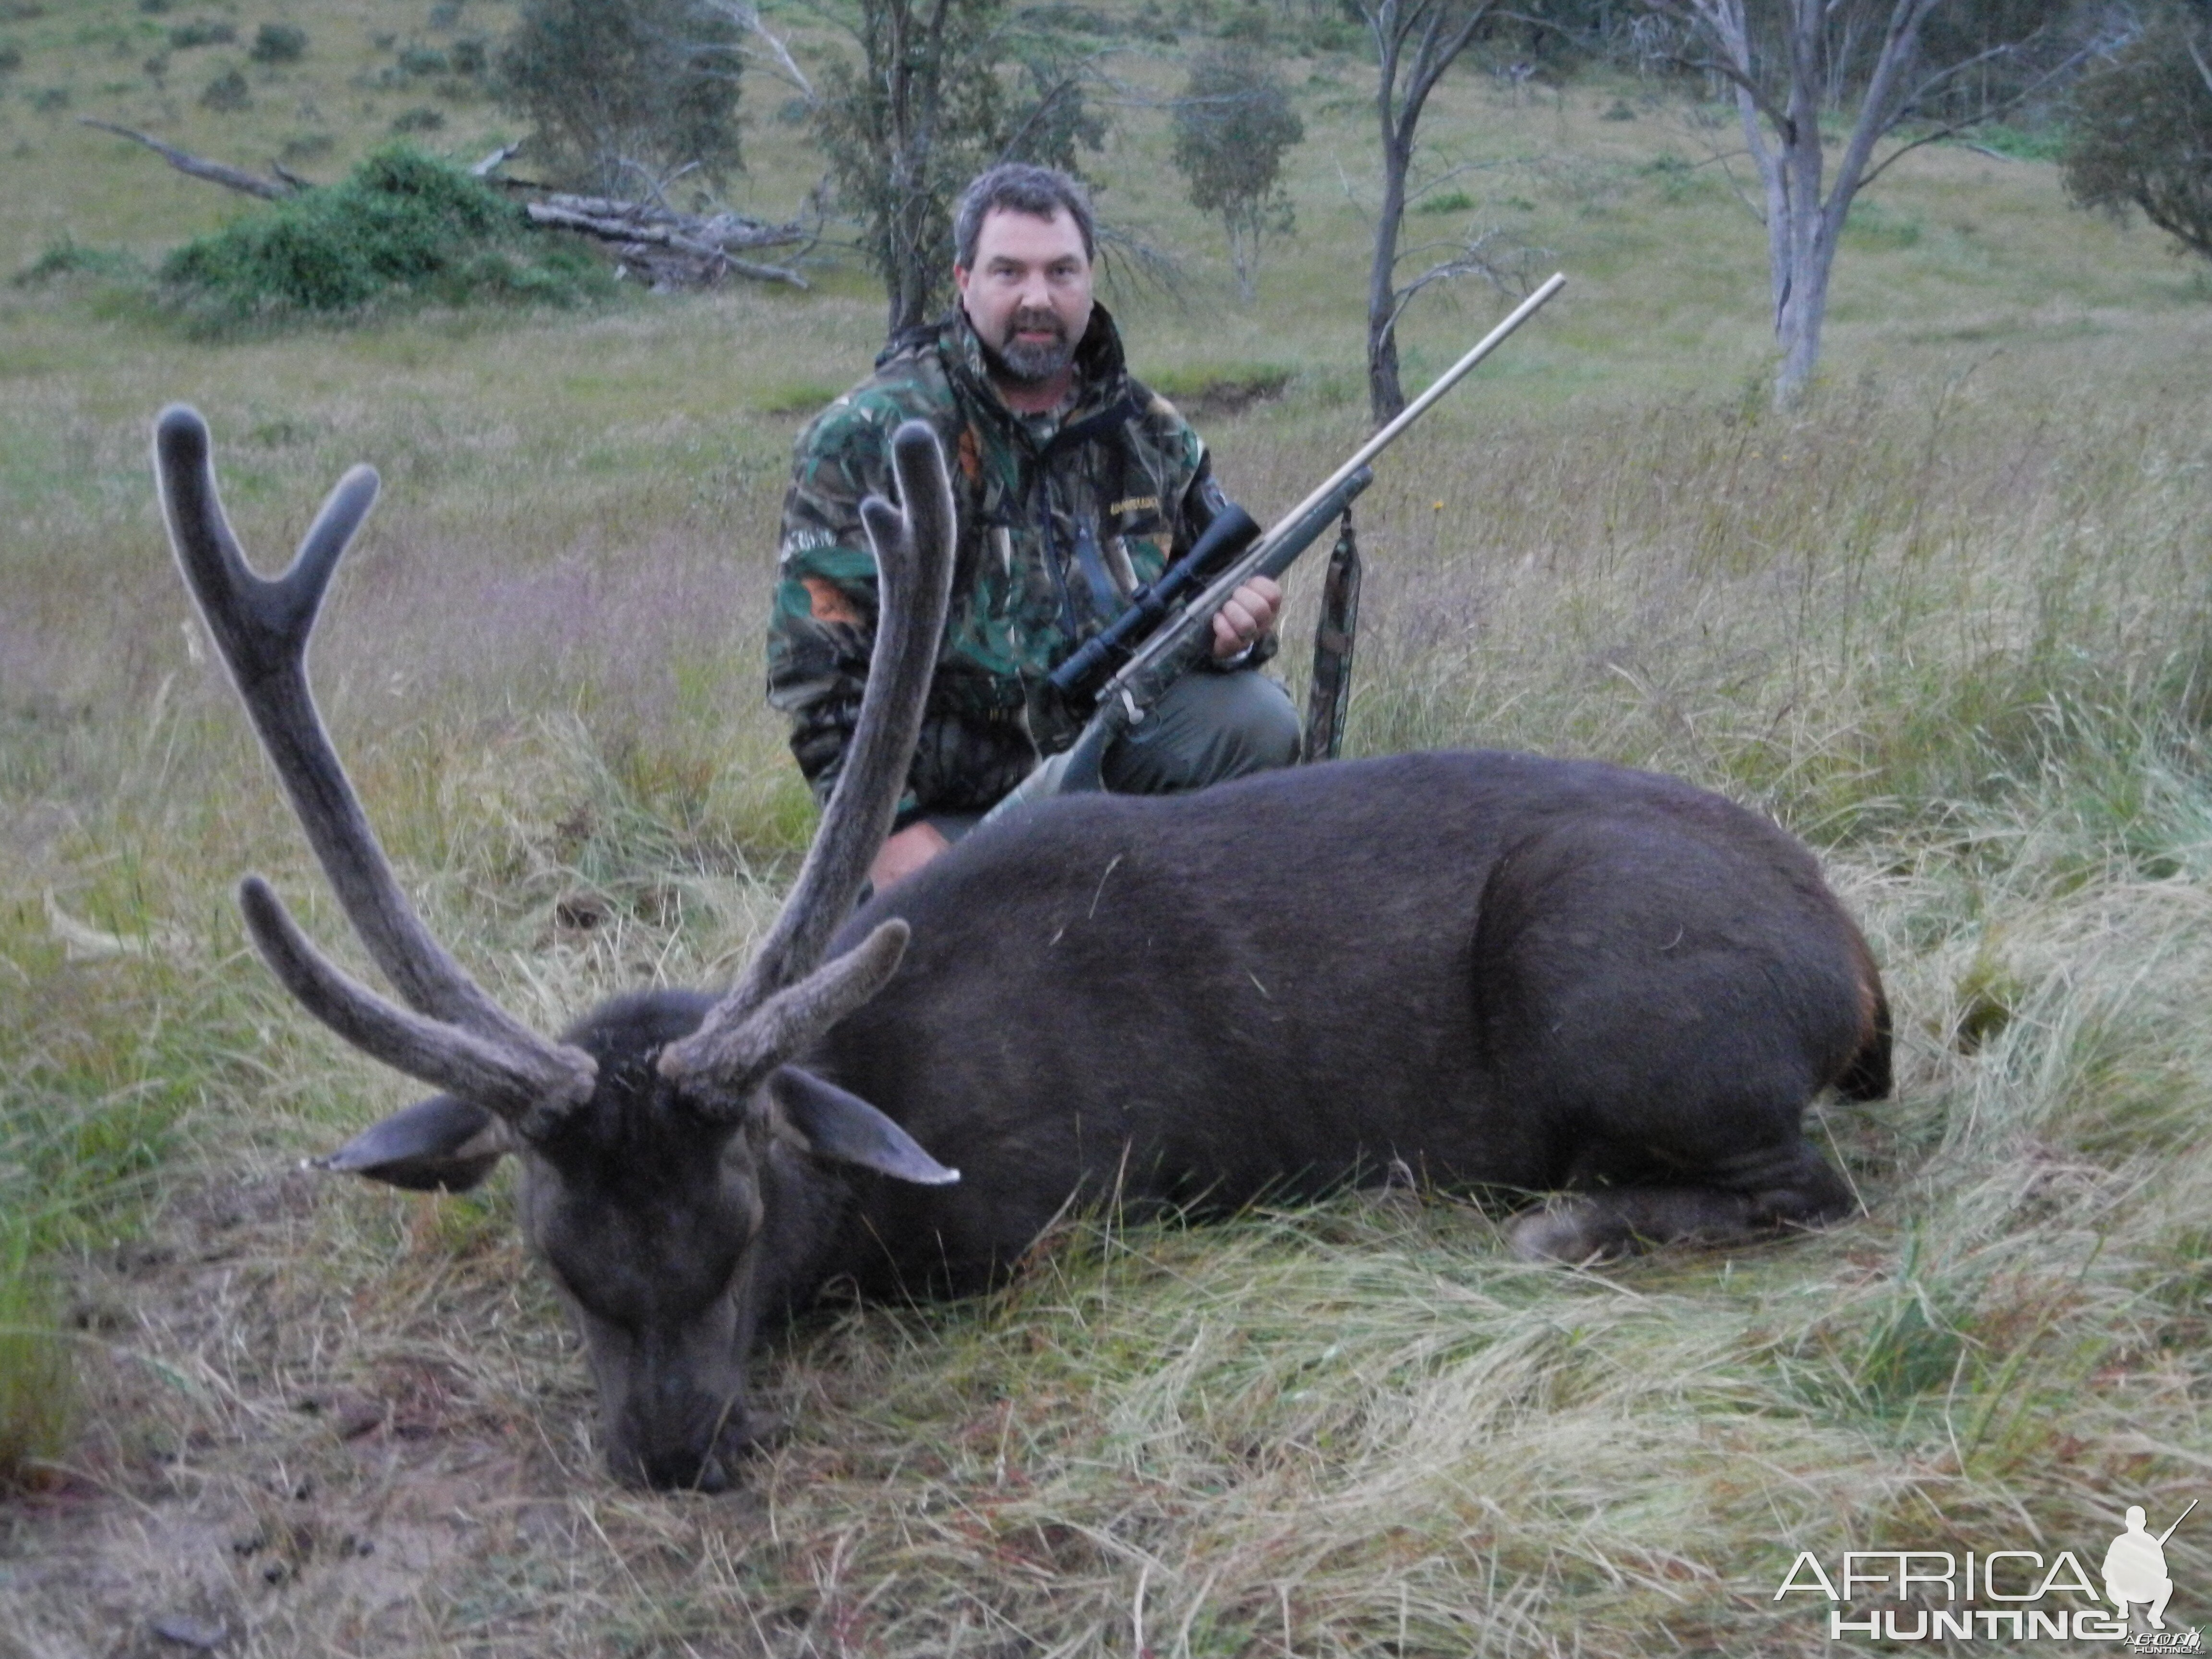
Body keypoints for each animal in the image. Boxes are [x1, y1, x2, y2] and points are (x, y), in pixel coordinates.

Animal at [160, 402, 1885, 1495]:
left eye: (741, 1226)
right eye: (555, 1258)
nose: (672, 1456)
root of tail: (1859, 973)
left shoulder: (1065, 1206)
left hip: (1611, 986)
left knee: (1808, 1181)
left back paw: (1561, 1221)